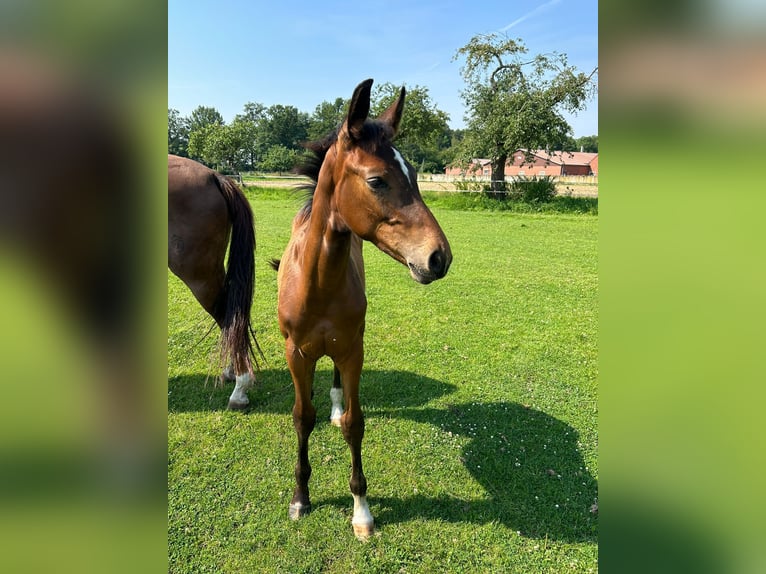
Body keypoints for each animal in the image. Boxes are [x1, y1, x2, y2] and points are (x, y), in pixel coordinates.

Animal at [276, 79, 452, 544]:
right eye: (377, 180)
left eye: (416, 175)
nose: (439, 258)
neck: (318, 284)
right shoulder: (295, 353)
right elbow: (302, 417)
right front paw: (301, 498)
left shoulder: (353, 349)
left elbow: (356, 424)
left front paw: (362, 511)